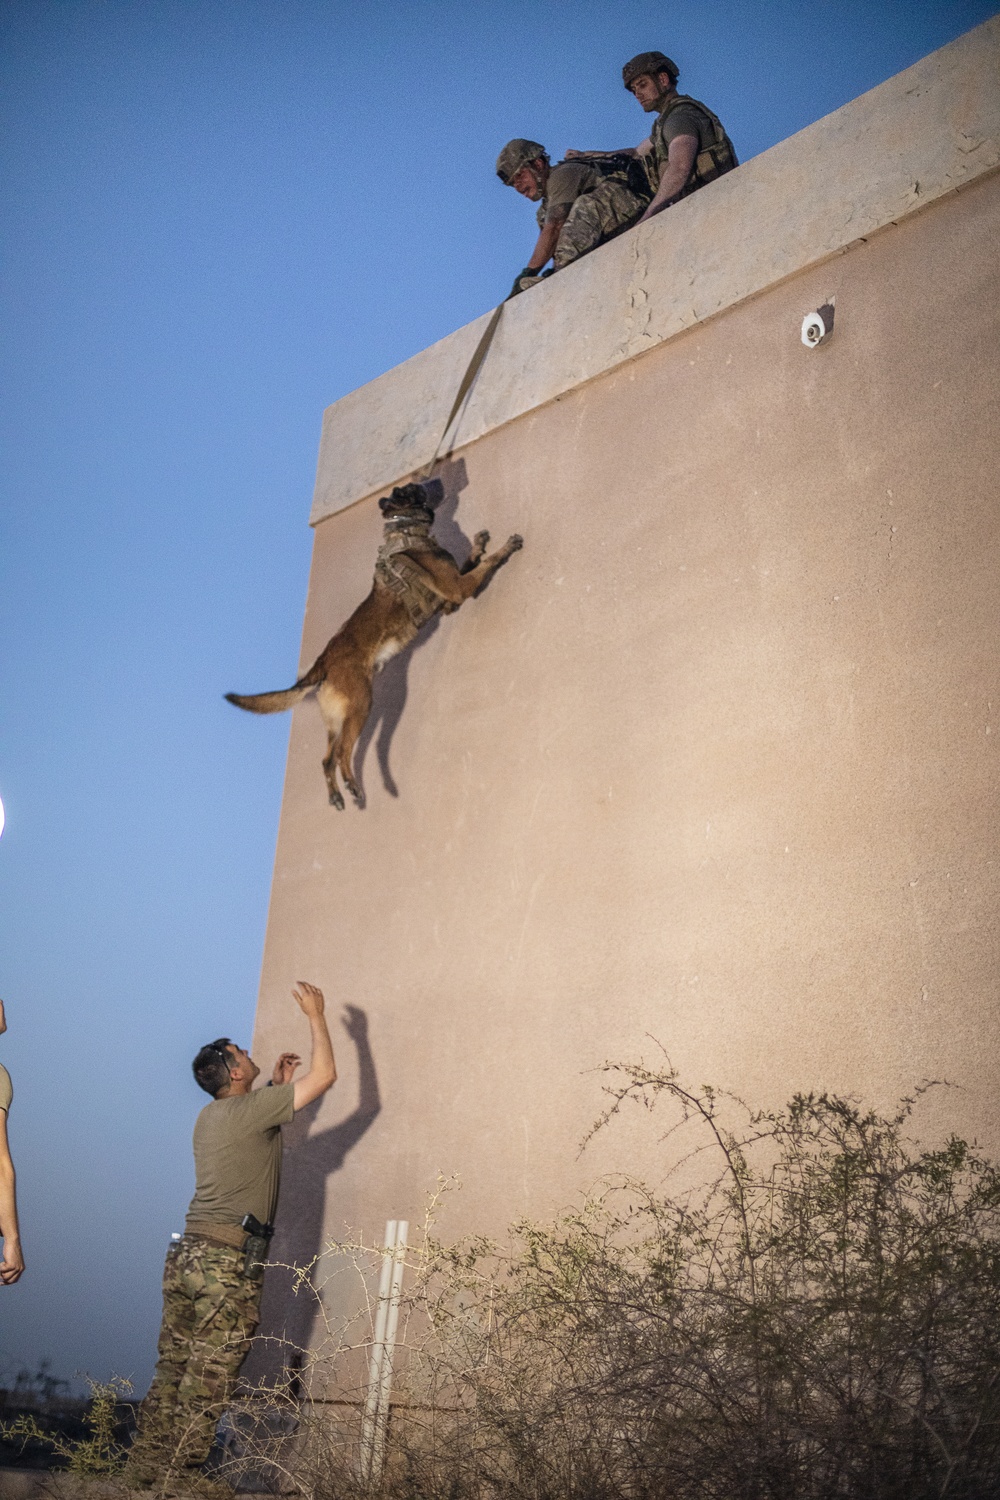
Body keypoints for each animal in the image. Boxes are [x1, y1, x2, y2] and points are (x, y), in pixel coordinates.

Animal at [227, 483, 524, 810]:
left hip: (336, 719)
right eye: (409, 489)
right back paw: (351, 785)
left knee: (326, 759)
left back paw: (337, 795)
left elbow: (469, 562)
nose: (428, 482)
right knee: (342, 753)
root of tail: (323, 661)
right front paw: (505, 548)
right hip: (361, 704)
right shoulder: (459, 588)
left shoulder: (451, 597)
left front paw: (479, 544)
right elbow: (483, 565)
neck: (403, 530)